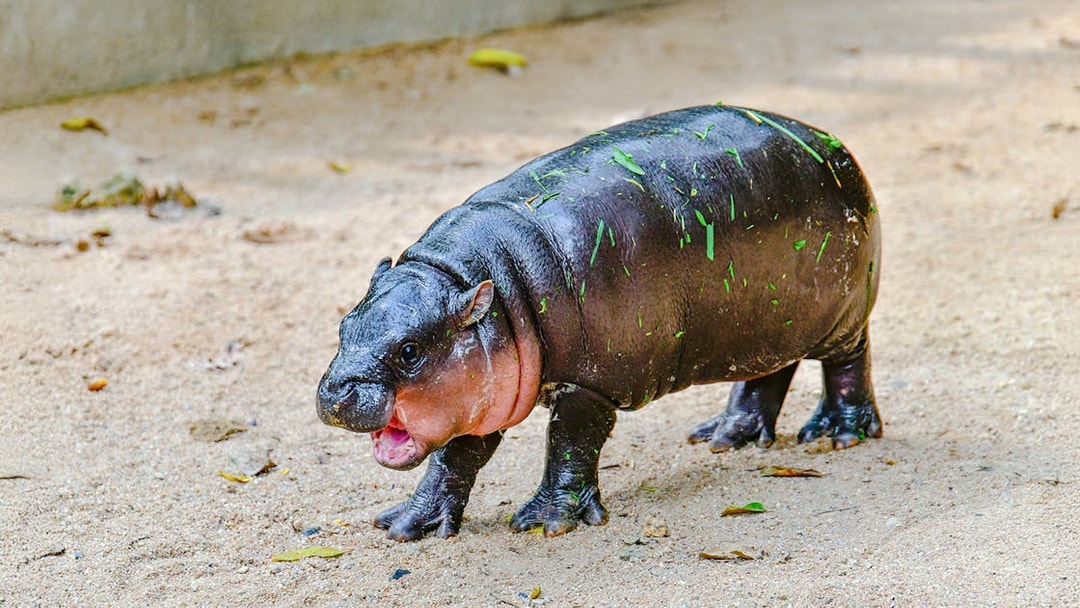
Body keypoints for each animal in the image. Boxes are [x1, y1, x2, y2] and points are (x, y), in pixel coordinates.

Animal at [317, 104, 882, 541]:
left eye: (410, 350)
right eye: (344, 325)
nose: (334, 394)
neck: (487, 279)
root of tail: (832, 144)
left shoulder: (591, 383)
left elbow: (570, 444)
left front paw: (545, 523)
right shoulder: (480, 395)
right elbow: (456, 458)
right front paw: (404, 525)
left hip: (845, 315)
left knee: (848, 362)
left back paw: (840, 433)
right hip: (768, 320)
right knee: (769, 372)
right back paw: (724, 437)